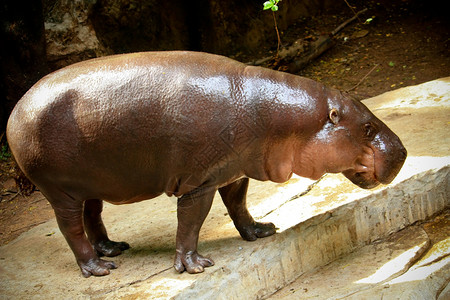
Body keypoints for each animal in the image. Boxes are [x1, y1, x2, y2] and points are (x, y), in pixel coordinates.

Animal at [5, 51, 406, 276]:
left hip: (93, 181)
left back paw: (113, 249)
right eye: (367, 127)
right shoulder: (199, 182)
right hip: (60, 190)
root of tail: (15, 111)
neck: (280, 117)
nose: (402, 151)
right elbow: (190, 223)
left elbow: (239, 204)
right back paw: (99, 269)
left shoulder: (234, 171)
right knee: (71, 228)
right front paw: (194, 267)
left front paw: (261, 231)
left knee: (93, 215)